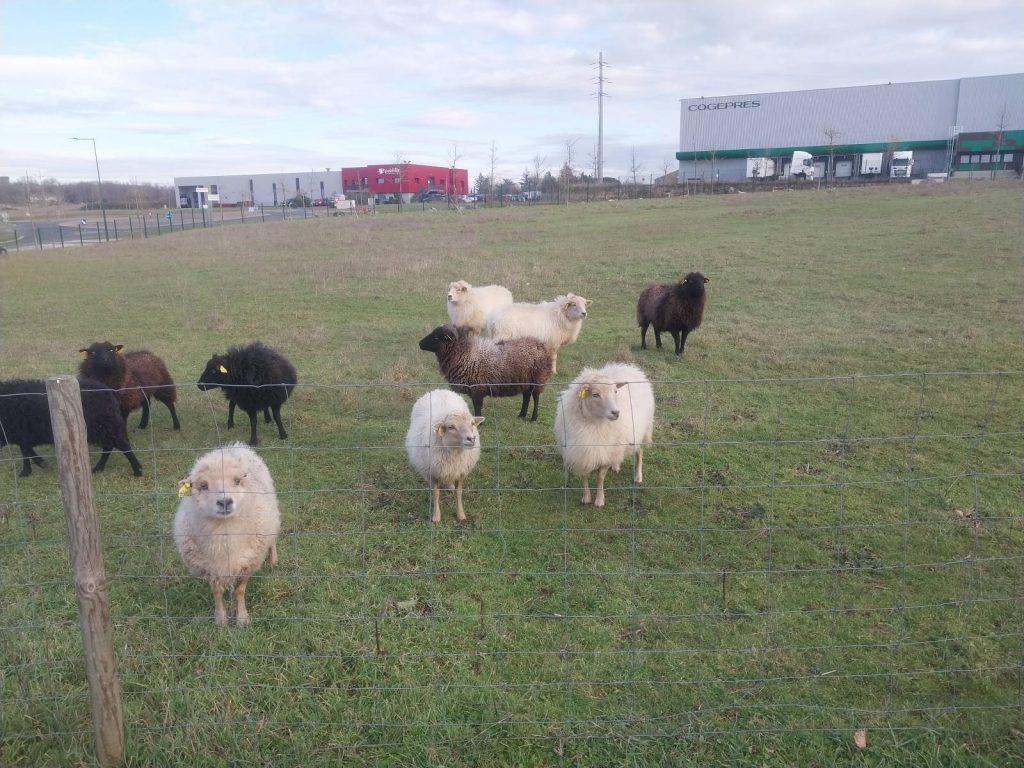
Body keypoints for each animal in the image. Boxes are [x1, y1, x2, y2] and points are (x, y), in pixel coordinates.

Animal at [0, 377, 144, 477]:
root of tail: (107, 392)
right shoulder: (21, 434)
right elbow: (27, 450)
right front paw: (40, 463)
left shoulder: (21, 432)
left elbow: (25, 452)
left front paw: (26, 471)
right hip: (102, 427)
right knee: (109, 446)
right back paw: (99, 468)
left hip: (104, 426)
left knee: (122, 445)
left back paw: (137, 470)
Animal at [173, 442, 280, 626]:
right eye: (203, 485)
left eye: (237, 481)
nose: (225, 502)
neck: (224, 535)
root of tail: (235, 445)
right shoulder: (209, 567)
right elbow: (216, 592)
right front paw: (221, 618)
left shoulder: (248, 563)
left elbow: (240, 590)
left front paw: (242, 618)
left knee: (272, 537)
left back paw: (273, 559)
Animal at [405, 389, 484, 524]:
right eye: (451, 427)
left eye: (472, 423)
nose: (472, 439)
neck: (455, 452)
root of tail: (439, 390)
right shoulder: (433, 472)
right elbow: (436, 494)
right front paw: (436, 516)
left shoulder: (461, 470)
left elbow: (459, 493)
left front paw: (461, 514)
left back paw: (450, 486)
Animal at [418, 325, 553, 421]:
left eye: (436, 337)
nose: (420, 343)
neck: (465, 354)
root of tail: (543, 346)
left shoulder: (477, 388)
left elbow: (477, 406)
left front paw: (478, 421)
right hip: (525, 380)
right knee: (526, 396)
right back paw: (522, 414)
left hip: (538, 378)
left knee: (535, 397)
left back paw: (533, 417)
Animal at [554, 362, 655, 508]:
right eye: (595, 394)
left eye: (615, 392)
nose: (616, 413)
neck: (594, 423)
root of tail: (628, 366)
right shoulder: (582, 451)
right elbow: (584, 475)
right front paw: (586, 497)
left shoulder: (607, 450)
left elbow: (600, 477)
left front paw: (600, 500)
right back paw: (616, 465)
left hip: (643, 430)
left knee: (639, 452)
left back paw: (638, 476)